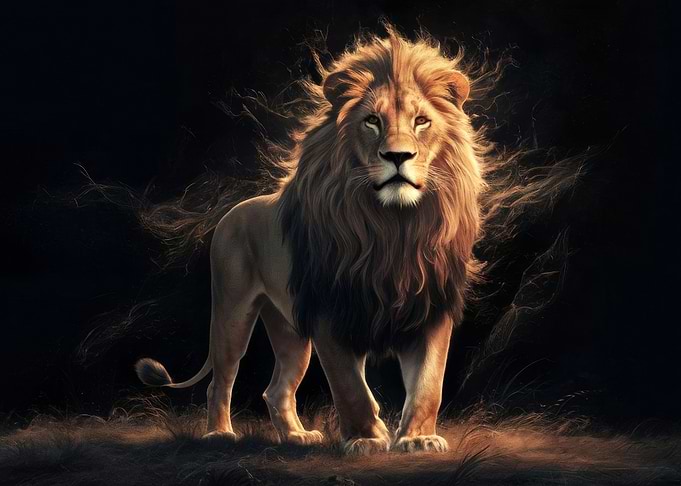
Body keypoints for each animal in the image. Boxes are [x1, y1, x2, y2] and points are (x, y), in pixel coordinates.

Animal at [135, 27, 484, 455]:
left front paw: (417, 438)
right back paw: (219, 434)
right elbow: (350, 385)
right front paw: (368, 438)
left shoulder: (430, 307)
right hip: (232, 311)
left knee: (276, 389)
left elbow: (428, 384)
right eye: (372, 121)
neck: (393, 227)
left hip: (288, 330)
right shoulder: (328, 310)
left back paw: (296, 436)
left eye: (422, 121)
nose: (397, 155)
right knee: (220, 380)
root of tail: (233, 212)